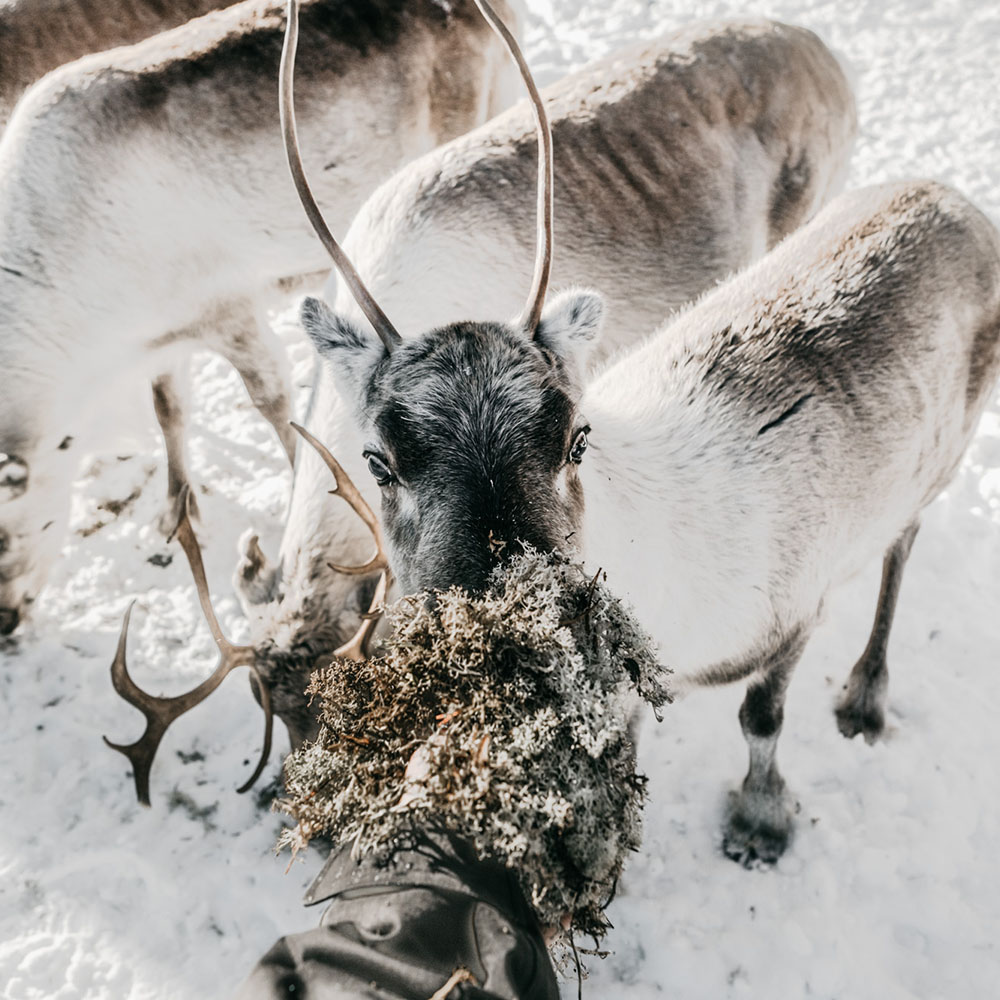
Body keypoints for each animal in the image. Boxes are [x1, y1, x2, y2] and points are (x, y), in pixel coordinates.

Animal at [0, 0, 523, 637]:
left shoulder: (228, 307)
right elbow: (168, 409)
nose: (5, 617)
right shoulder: (164, 334)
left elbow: (274, 403)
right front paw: (176, 510)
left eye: (34, 527)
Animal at [281, 0, 1000, 867]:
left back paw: (864, 697)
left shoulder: (796, 612)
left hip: (943, 458)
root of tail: (952, 198)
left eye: (575, 439)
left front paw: (760, 821)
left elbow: (761, 718)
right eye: (378, 461)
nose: (507, 651)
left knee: (903, 542)